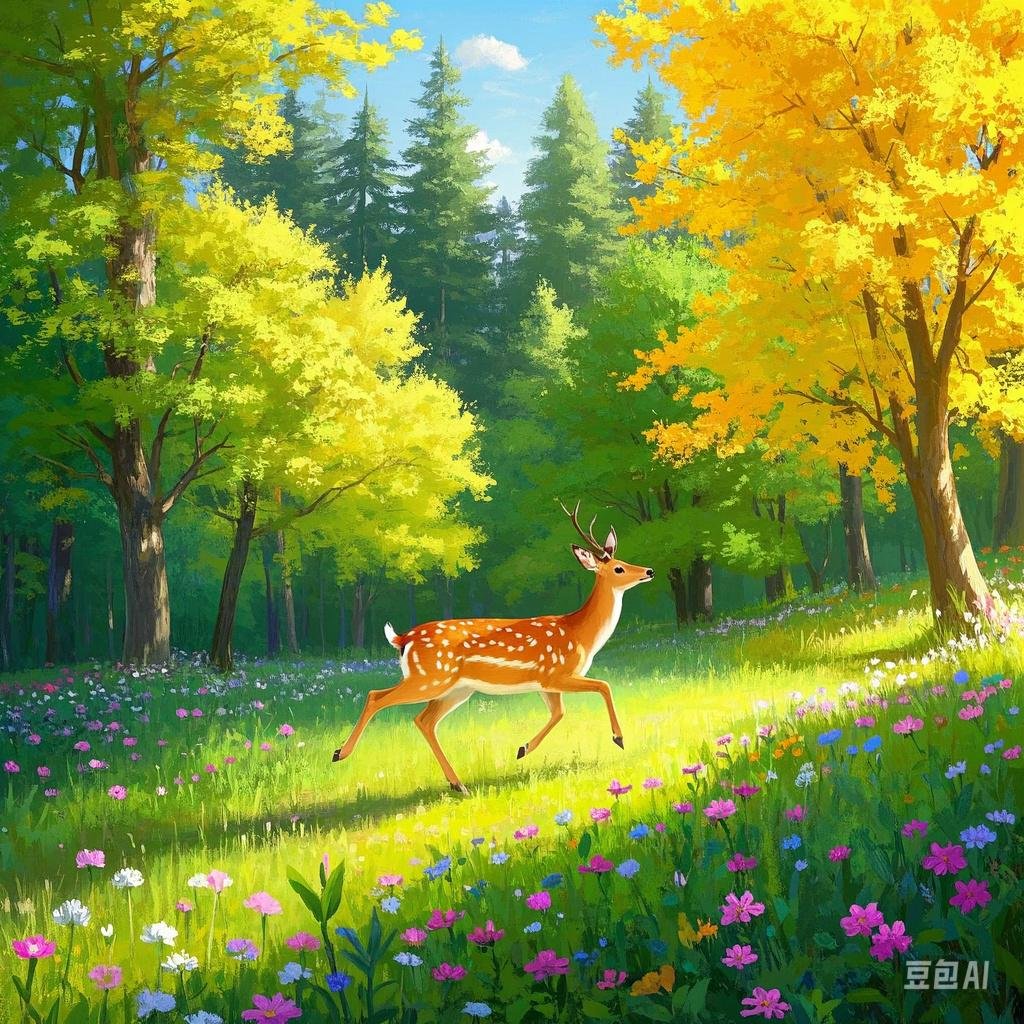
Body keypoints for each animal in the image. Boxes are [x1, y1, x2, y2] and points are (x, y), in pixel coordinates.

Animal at [332, 502, 655, 794]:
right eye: (619, 567)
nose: (649, 570)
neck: (579, 634)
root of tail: (402, 639)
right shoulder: (556, 673)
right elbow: (603, 686)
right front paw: (619, 738)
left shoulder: (546, 684)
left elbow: (559, 713)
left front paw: (522, 749)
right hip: (430, 677)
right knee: (377, 696)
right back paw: (339, 753)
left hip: (455, 689)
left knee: (423, 720)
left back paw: (458, 783)